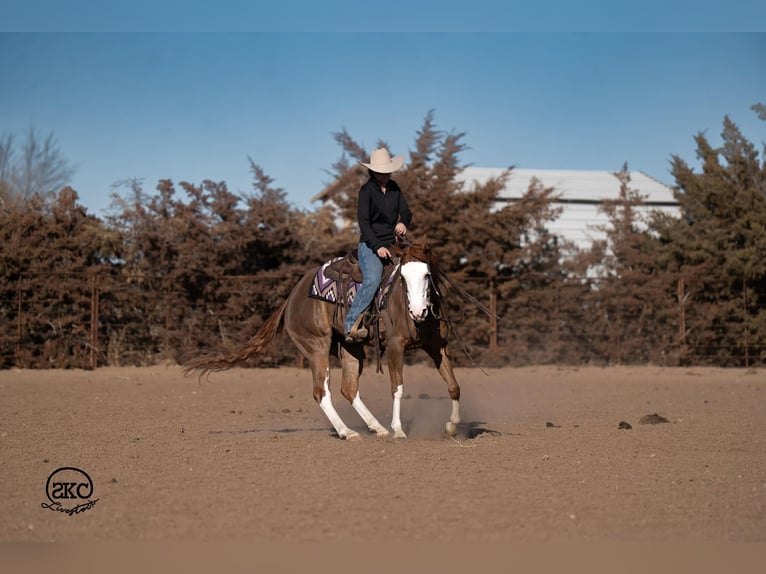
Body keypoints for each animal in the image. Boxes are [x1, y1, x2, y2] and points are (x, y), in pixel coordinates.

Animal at [185, 241, 463, 440]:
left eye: (427, 275)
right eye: (402, 278)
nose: (417, 311)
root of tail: (292, 297)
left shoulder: (438, 347)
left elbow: (453, 385)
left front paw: (451, 427)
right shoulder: (395, 346)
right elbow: (398, 388)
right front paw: (399, 429)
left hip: (350, 347)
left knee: (349, 389)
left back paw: (376, 428)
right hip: (316, 347)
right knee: (321, 391)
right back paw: (347, 432)